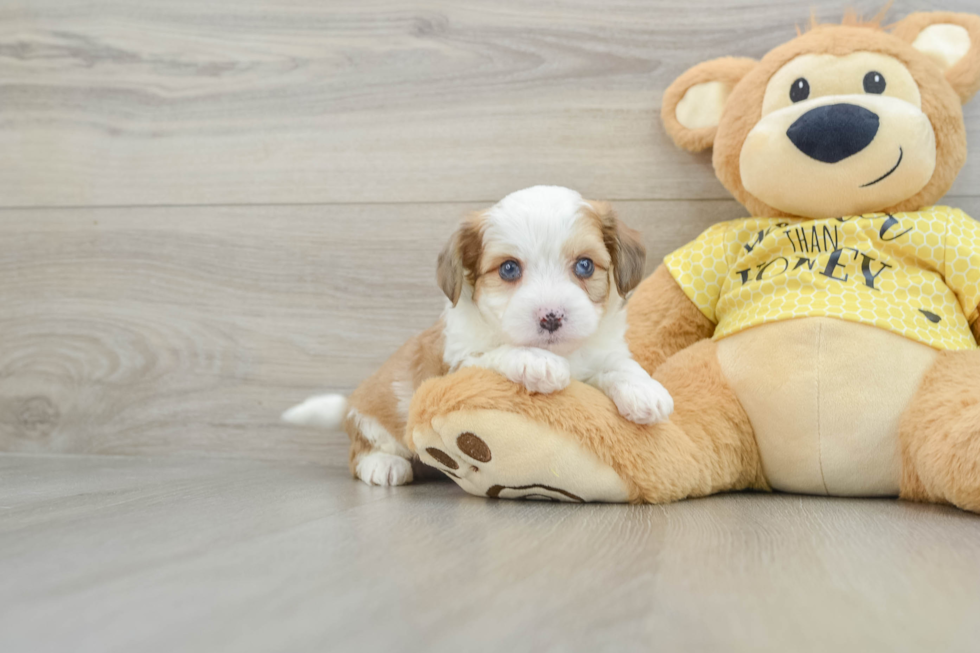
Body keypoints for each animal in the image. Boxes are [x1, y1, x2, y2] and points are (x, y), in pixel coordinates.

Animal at [280, 183, 668, 484]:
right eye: (509, 269)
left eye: (585, 265)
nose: (551, 317)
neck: (564, 352)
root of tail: (351, 404)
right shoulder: (457, 366)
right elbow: (497, 352)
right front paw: (537, 363)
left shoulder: (602, 352)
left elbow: (620, 365)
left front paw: (645, 391)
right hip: (376, 420)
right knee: (360, 451)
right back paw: (384, 465)